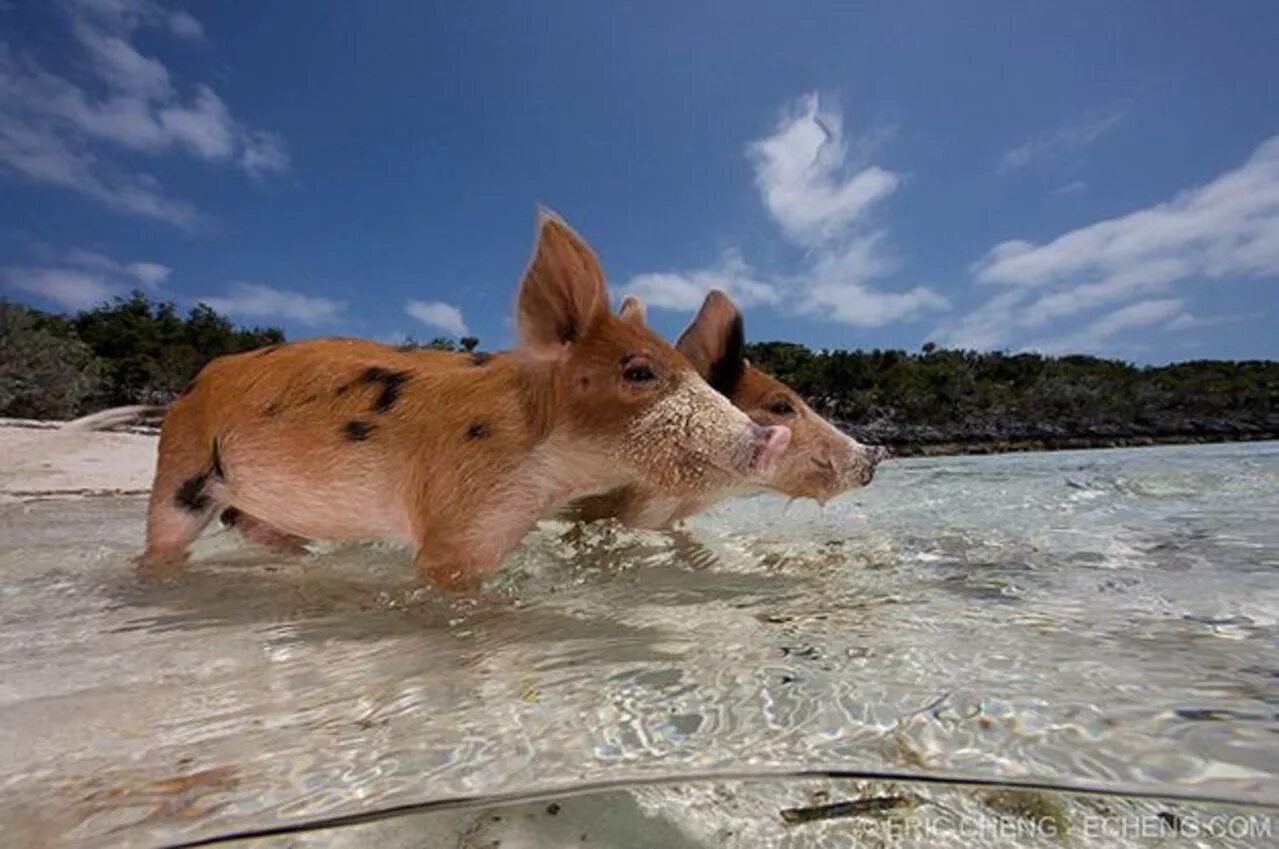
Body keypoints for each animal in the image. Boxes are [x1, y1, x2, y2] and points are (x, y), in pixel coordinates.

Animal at [72, 210, 787, 590]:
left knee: (243, 521)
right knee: (168, 539)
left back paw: (305, 558)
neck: (547, 474)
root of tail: (187, 390)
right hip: (181, 471)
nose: (772, 436)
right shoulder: (457, 518)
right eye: (638, 372)